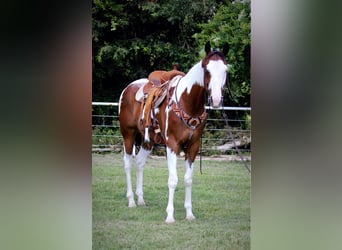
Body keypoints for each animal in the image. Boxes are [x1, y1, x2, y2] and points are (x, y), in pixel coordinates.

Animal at [119, 42, 228, 224]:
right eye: (206, 69)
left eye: (225, 70)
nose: (216, 99)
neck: (187, 103)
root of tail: (127, 89)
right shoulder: (172, 145)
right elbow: (173, 180)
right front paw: (170, 215)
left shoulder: (193, 146)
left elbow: (188, 180)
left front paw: (189, 214)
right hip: (128, 135)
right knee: (128, 164)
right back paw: (131, 201)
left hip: (148, 141)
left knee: (140, 163)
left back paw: (140, 199)